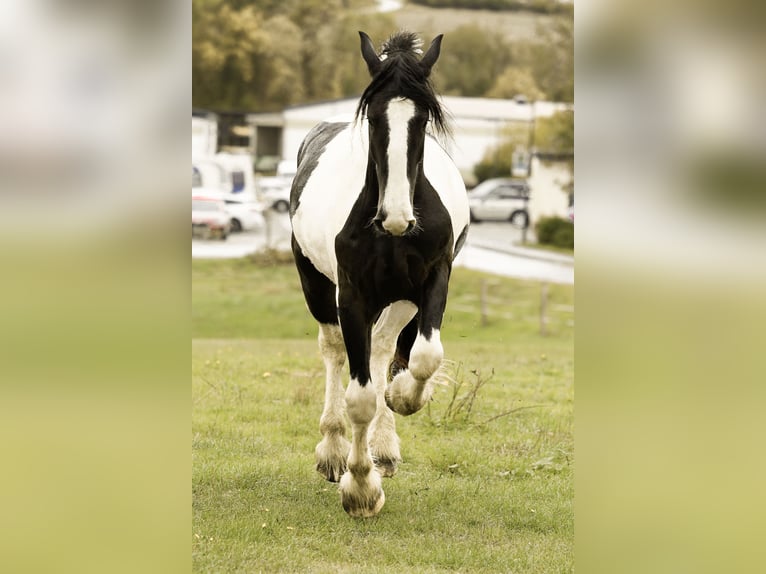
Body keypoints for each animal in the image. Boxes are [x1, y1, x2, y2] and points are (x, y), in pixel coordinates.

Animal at [289, 30, 470, 518]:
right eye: (373, 117)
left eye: (422, 119)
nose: (396, 217)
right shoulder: (351, 296)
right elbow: (359, 397)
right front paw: (359, 487)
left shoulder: (431, 281)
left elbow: (421, 358)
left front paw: (403, 397)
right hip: (318, 287)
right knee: (336, 353)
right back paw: (334, 452)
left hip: (399, 300)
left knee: (384, 350)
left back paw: (384, 448)